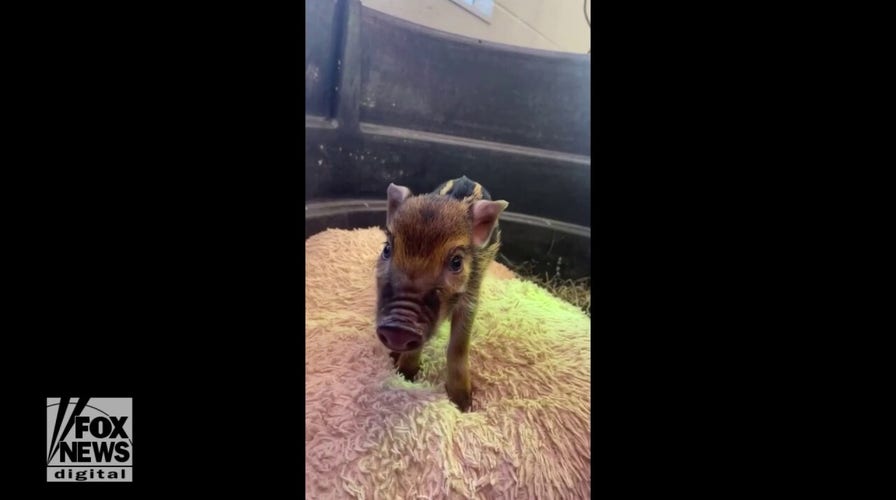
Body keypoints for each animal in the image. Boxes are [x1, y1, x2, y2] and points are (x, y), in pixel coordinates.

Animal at [375, 176, 509, 412]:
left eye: (456, 262)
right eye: (387, 249)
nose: (398, 329)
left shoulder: (470, 299)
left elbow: (457, 347)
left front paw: (463, 405)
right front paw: (404, 375)